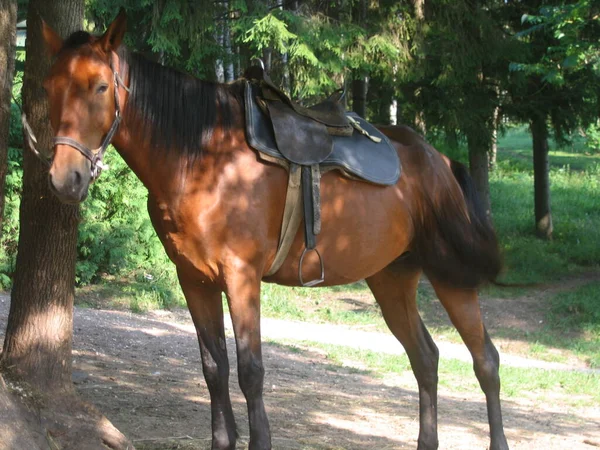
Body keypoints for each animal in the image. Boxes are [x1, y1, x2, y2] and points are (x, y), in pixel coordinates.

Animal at [38, 9, 506, 450]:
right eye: (48, 87)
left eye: (101, 86)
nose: (65, 178)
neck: (203, 158)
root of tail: (438, 161)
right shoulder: (194, 279)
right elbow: (214, 367)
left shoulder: (241, 277)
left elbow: (251, 371)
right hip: (392, 277)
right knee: (425, 357)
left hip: (450, 275)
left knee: (485, 360)